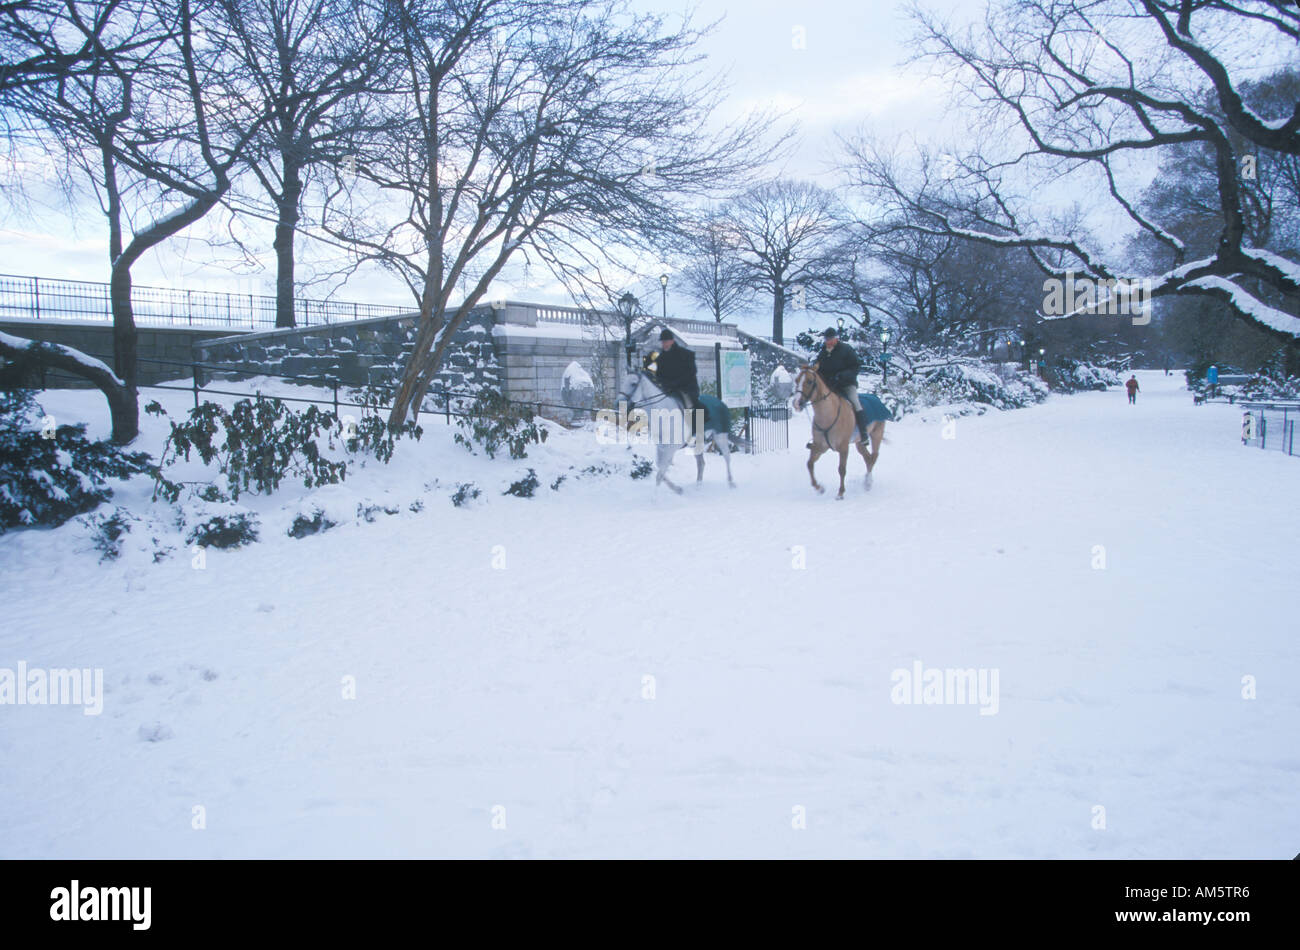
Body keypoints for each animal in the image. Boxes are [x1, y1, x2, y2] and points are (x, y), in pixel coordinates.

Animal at [790, 361, 883, 501]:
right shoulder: (820, 447)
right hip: (859, 443)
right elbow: (810, 464)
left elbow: (841, 469)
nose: (796, 403)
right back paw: (867, 482)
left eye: (810, 381)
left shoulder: (843, 448)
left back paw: (868, 482)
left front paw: (840, 493)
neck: (828, 414)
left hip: (876, 435)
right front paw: (819, 488)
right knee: (868, 458)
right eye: (796, 380)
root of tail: (877, 399)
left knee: (874, 457)